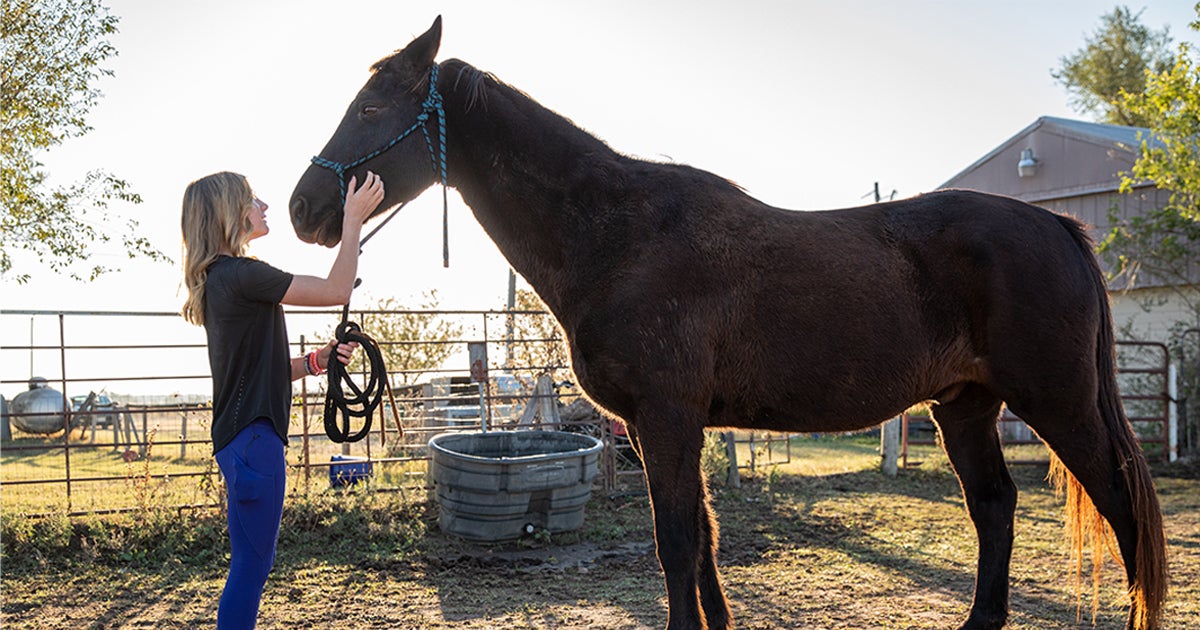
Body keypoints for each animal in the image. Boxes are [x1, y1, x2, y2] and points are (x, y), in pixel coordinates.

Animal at [289, 17, 1167, 630]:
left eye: (372, 105)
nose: (305, 207)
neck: (620, 235)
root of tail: (1056, 225)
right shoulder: (657, 426)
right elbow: (703, 540)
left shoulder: (668, 416)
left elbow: (678, 542)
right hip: (965, 407)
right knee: (994, 507)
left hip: (1058, 402)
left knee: (1122, 507)